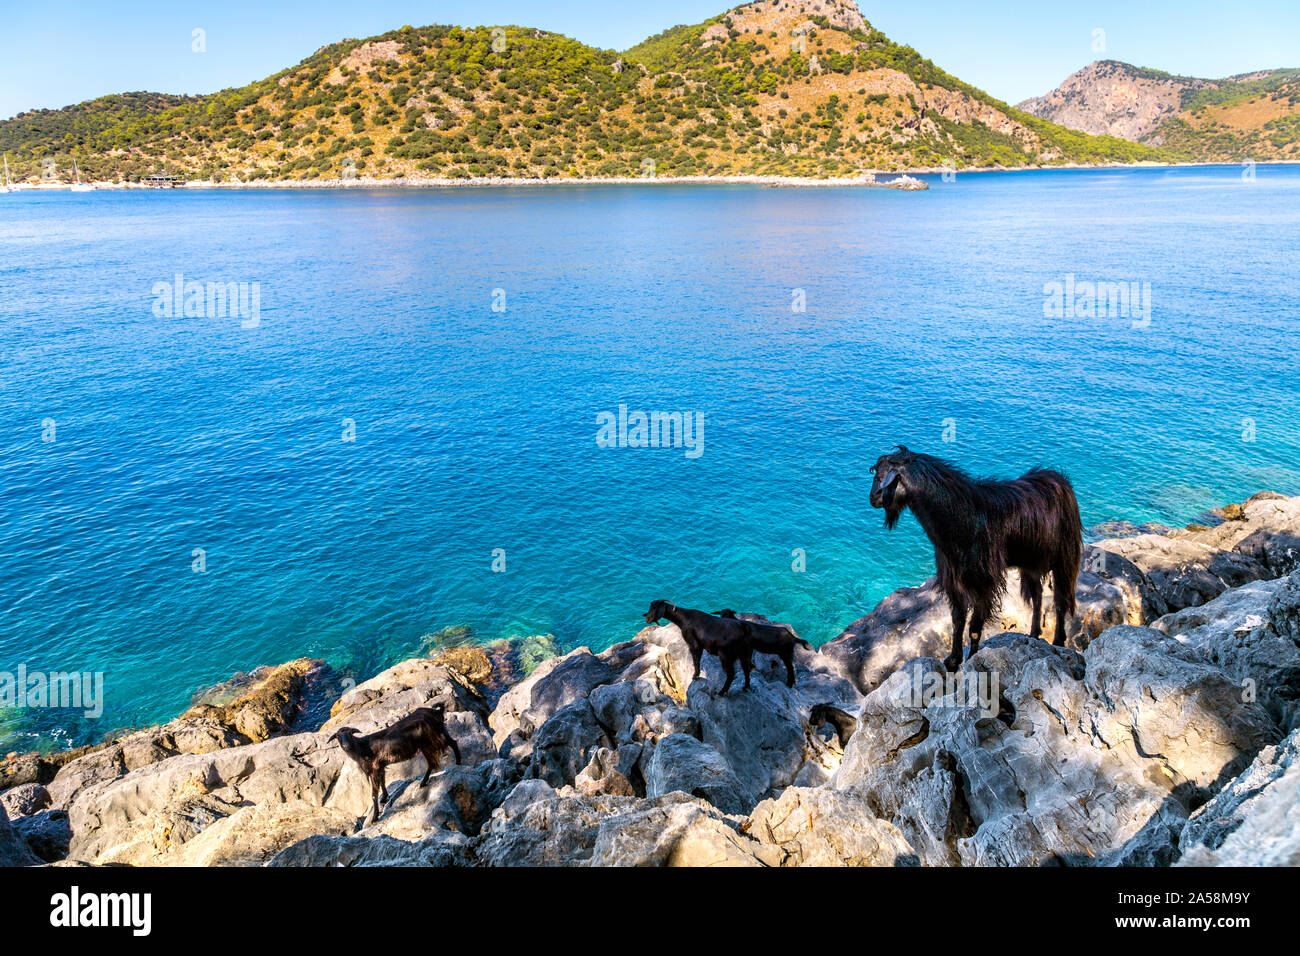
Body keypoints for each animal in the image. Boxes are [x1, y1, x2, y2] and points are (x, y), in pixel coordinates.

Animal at [332, 702, 460, 822]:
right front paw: (384, 798)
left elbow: (373, 794)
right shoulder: (380, 766)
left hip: (431, 739)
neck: (362, 747)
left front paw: (375, 817)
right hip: (438, 734)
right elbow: (383, 782)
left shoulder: (374, 769)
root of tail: (437, 712)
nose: (346, 746)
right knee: (448, 746)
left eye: (350, 734)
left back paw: (455, 766)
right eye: (338, 736)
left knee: (442, 753)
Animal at [873, 447, 1086, 671]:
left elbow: (974, 627)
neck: (963, 518)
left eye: (883, 476)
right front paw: (953, 660)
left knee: (1061, 598)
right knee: (1037, 596)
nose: (873, 498)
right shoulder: (954, 580)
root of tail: (1059, 479)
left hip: (1064, 557)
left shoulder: (983, 582)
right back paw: (1034, 634)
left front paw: (973, 660)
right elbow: (957, 621)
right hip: (1031, 563)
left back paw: (1058, 640)